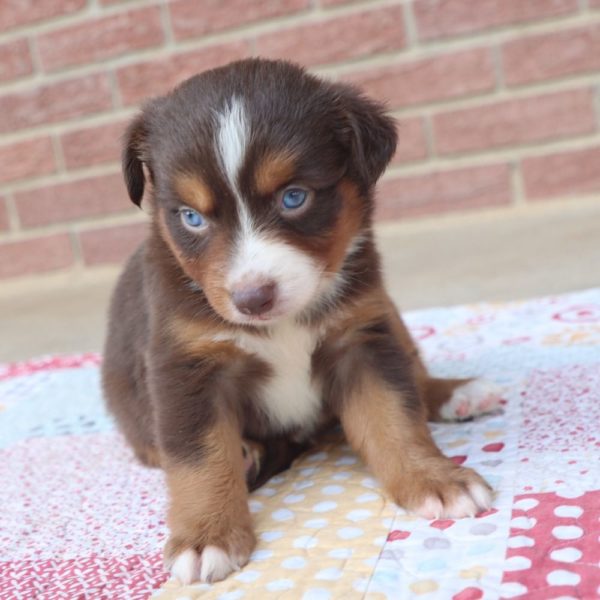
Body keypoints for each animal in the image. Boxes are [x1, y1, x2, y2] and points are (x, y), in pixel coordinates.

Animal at [103, 58, 502, 584]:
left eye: (294, 198)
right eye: (191, 217)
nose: (252, 297)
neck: (282, 326)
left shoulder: (361, 336)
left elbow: (394, 415)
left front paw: (433, 479)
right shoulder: (184, 366)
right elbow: (198, 457)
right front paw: (207, 537)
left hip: (387, 313)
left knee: (413, 375)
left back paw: (459, 392)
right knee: (152, 445)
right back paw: (246, 453)